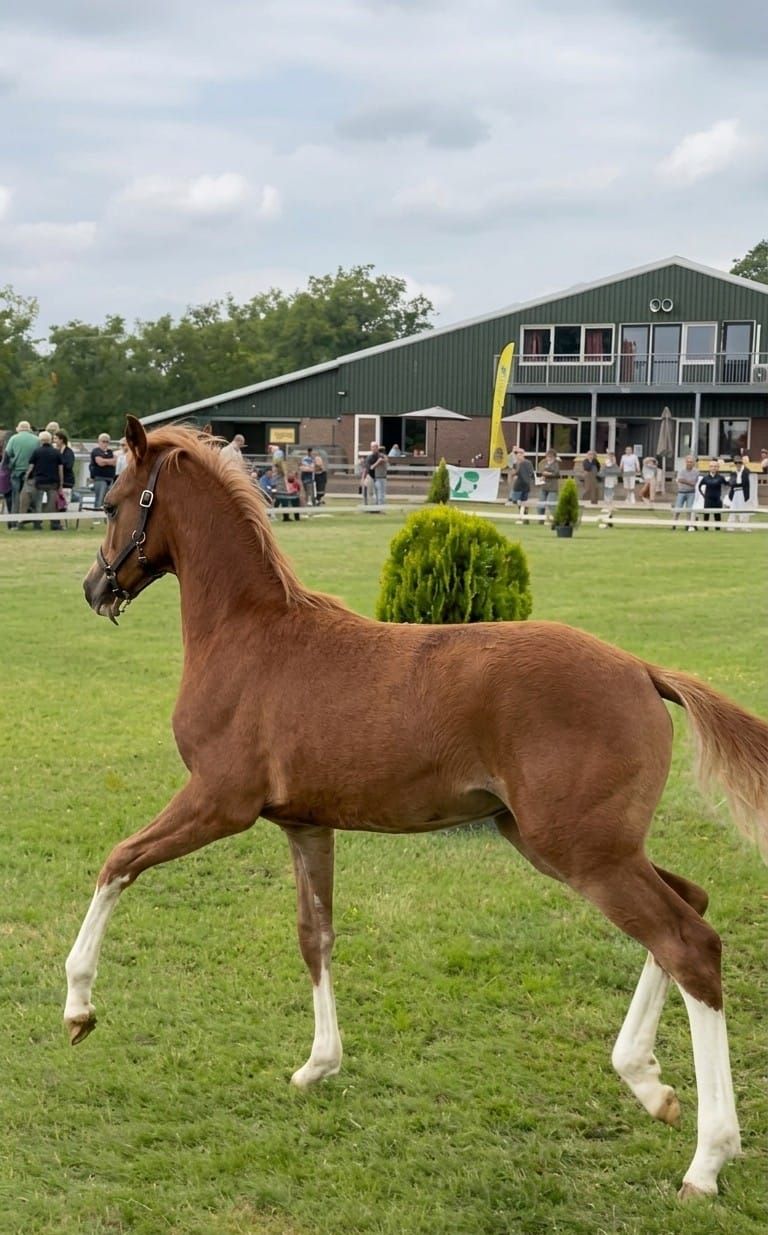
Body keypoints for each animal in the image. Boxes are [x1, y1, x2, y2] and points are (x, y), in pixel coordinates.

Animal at [66, 416, 768, 1200]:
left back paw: (707, 1158)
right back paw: (647, 1080)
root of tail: (645, 671)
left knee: (688, 943)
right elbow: (315, 934)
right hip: (568, 842)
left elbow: (118, 862)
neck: (251, 635)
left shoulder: (219, 800)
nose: (94, 587)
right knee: (690, 905)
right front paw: (318, 1064)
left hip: (583, 850)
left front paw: (79, 1008)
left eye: (113, 501)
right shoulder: (306, 822)